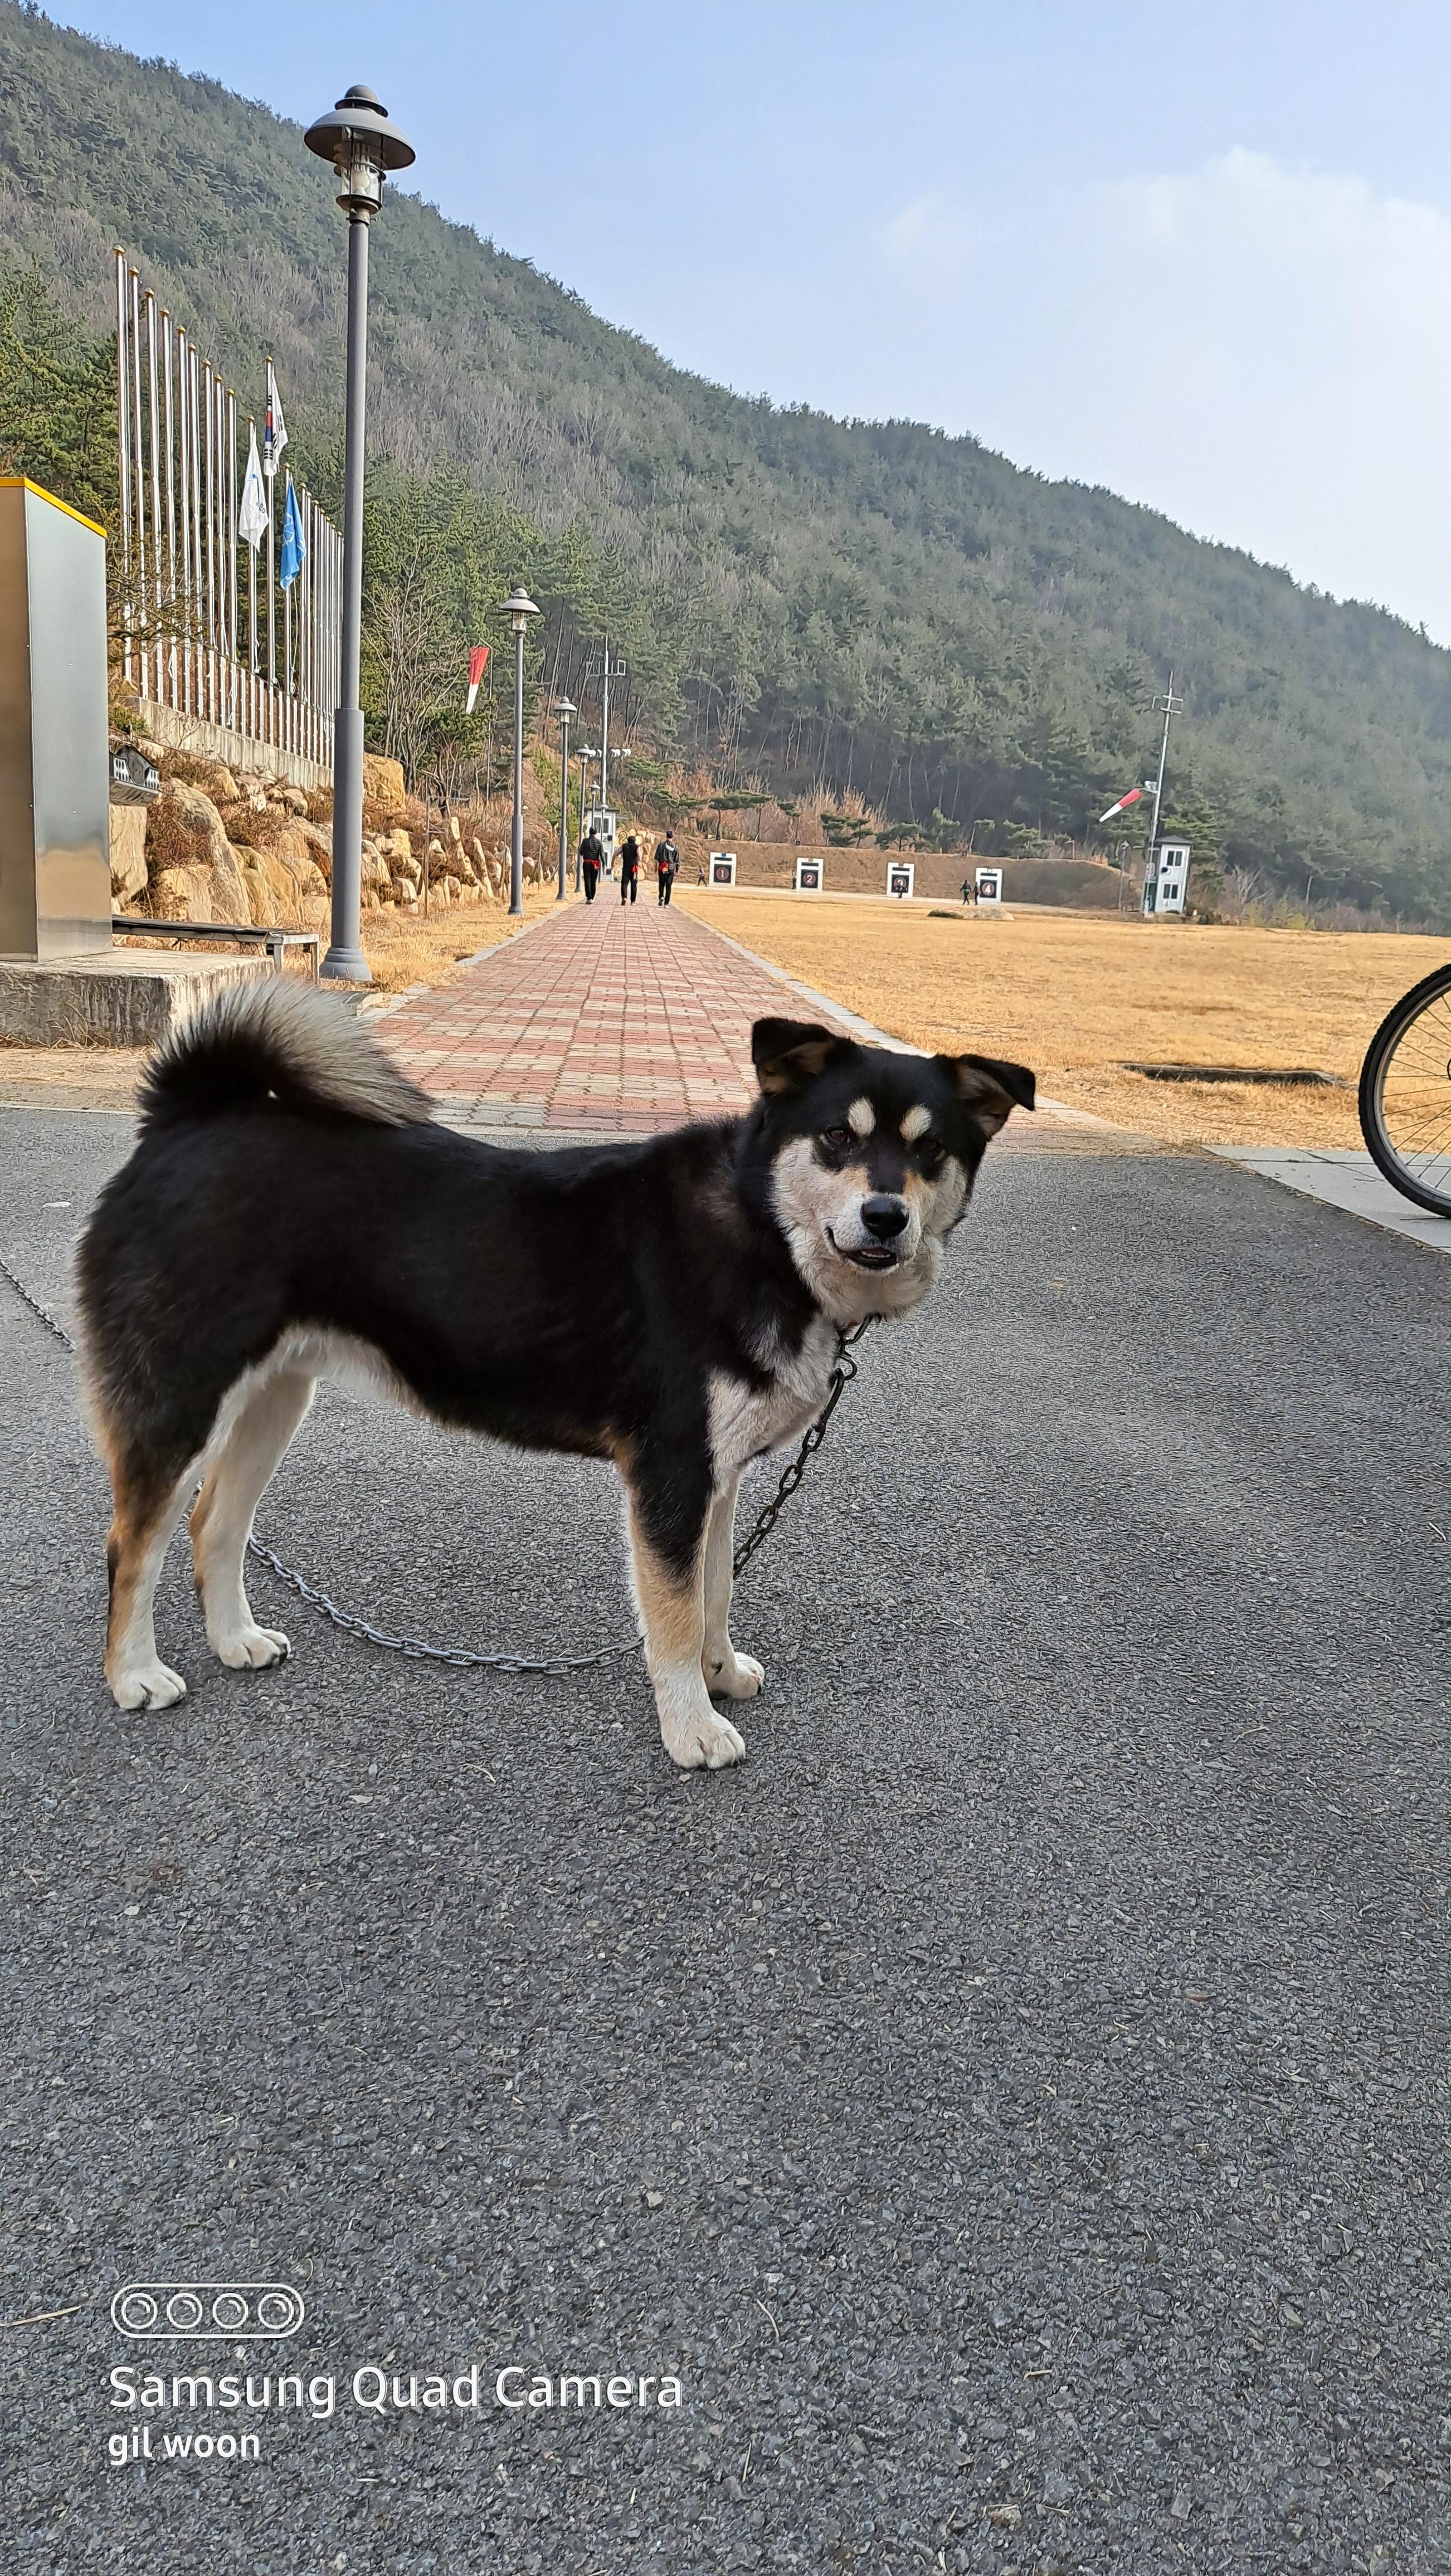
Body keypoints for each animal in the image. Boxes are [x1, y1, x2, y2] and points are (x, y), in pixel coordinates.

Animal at [76, 984, 1034, 1767]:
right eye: (838, 1137)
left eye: (932, 1151)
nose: (886, 1215)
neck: (764, 1234)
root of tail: (184, 1118)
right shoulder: (672, 1475)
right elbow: (674, 1615)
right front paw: (692, 1728)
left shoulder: (718, 1480)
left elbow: (717, 1593)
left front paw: (720, 1672)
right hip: (181, 1400)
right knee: (135, 1544)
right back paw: (134, 1675)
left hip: (276, 1397)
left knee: (214, 1524)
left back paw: (235, 1640)